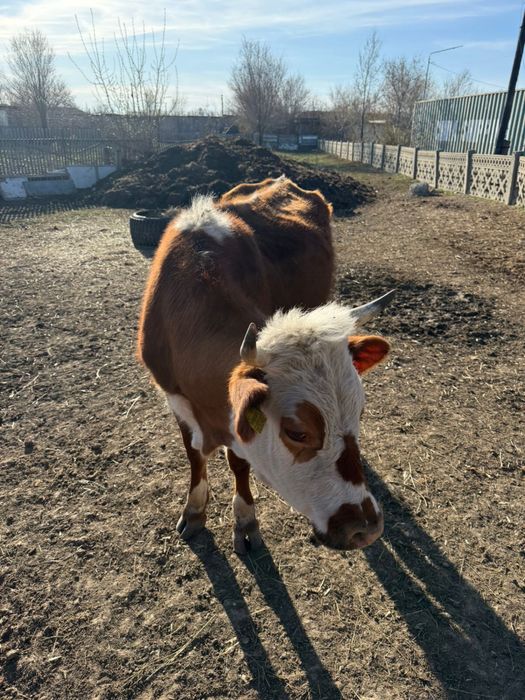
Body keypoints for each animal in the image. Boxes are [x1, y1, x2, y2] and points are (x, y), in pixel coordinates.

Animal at [137, 176, 394, 553]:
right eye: (297, 432)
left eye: (359, 413)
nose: (367, 529)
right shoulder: (174, 397)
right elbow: (194, 454)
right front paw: (195, 510)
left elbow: (238, 462)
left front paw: (245, 520)